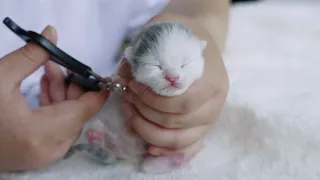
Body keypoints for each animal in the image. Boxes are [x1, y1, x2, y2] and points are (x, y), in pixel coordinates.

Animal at [68, 20, 206, 173]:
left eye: (184, 64)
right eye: (156, 65)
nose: (172, 78)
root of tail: (132, 154)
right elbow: (118, 80)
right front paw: (119, 81)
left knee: (148, 166)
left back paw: (175, 160)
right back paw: (95, 135)